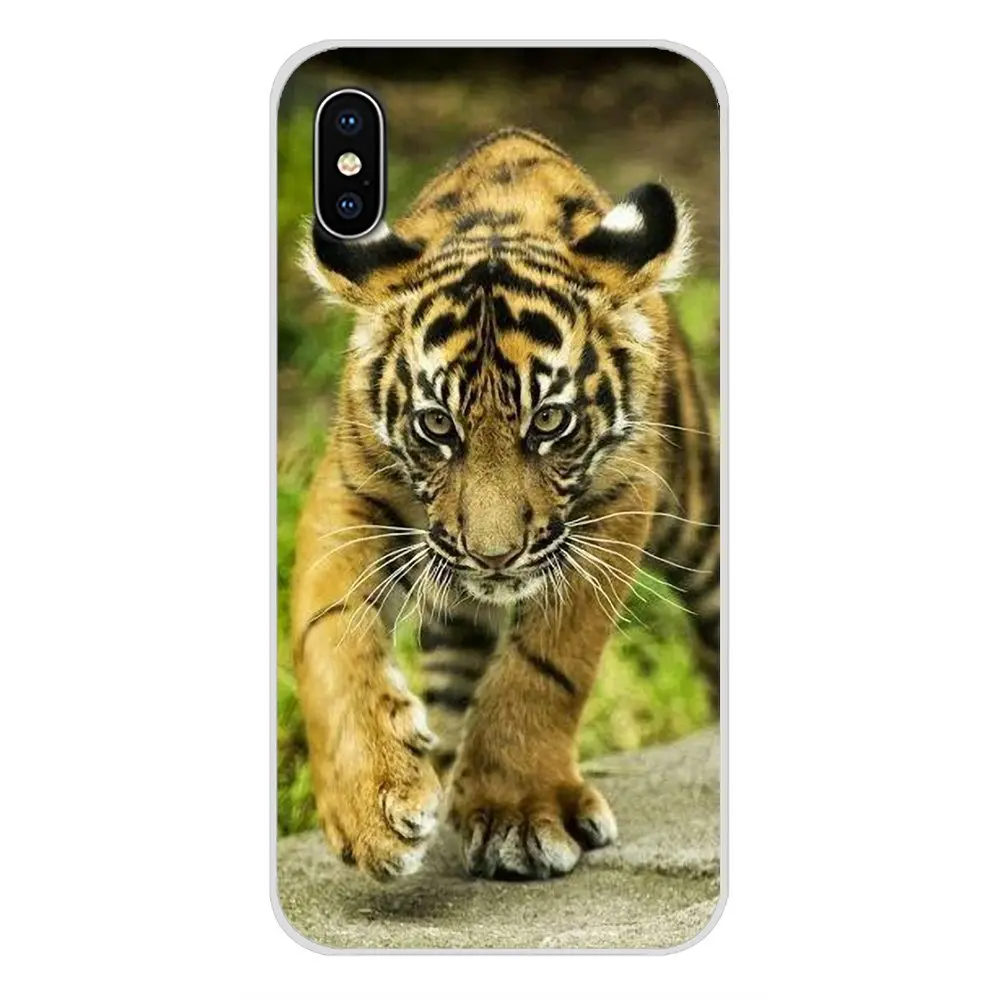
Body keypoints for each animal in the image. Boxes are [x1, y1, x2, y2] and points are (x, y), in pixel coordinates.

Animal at [292, 127, 720, 881]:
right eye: (437, 426)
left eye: (549, 421)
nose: (494, 557)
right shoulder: (349, 492)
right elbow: (330, 636)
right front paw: (372, 808)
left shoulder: (616, 503)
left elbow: (548, 662)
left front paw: (518, 812)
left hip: (695, 512)